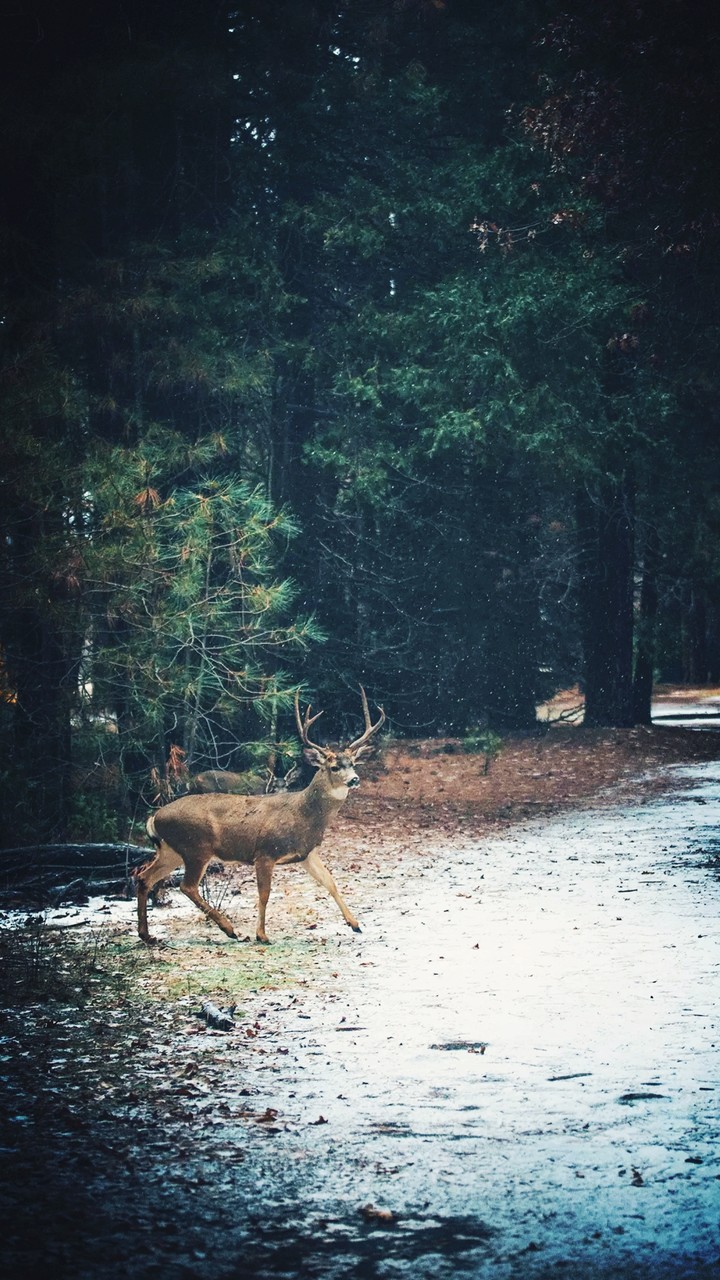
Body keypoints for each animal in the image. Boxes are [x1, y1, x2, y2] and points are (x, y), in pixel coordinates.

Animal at [135, 687, 385, 946]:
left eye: (353, 763)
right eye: (334, 767)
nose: (354, 779)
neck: (303, 815)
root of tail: (155, 818)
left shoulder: (307, 853)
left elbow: (330, 882)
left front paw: (355, 924)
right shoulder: (265, 852)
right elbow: (264, 893)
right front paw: (262, 934)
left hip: (172, 850)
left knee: (144, 877)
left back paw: (147, 935)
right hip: (196, 847)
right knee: (187, 886)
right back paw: (230, 929)